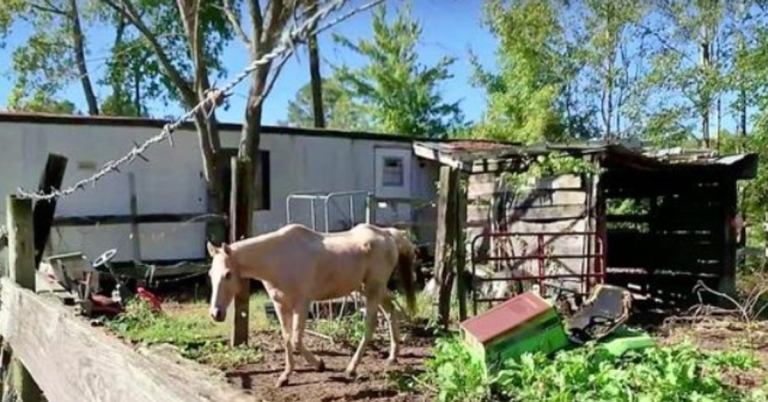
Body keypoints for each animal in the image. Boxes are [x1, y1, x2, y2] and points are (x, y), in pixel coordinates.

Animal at [207, 223, 416, 386]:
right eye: (210, 274)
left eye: (227, 274)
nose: (216, 313)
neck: (278, 258)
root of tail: (388, 233)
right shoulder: (280, 305)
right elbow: (286, 339)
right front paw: (285, 377)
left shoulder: (302, 304)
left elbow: (296, 340)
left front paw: (319, 364)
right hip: (371, 289)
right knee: (392, 312)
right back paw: (392, 357)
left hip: (373, 290)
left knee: (370, 326)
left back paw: (351, 369)